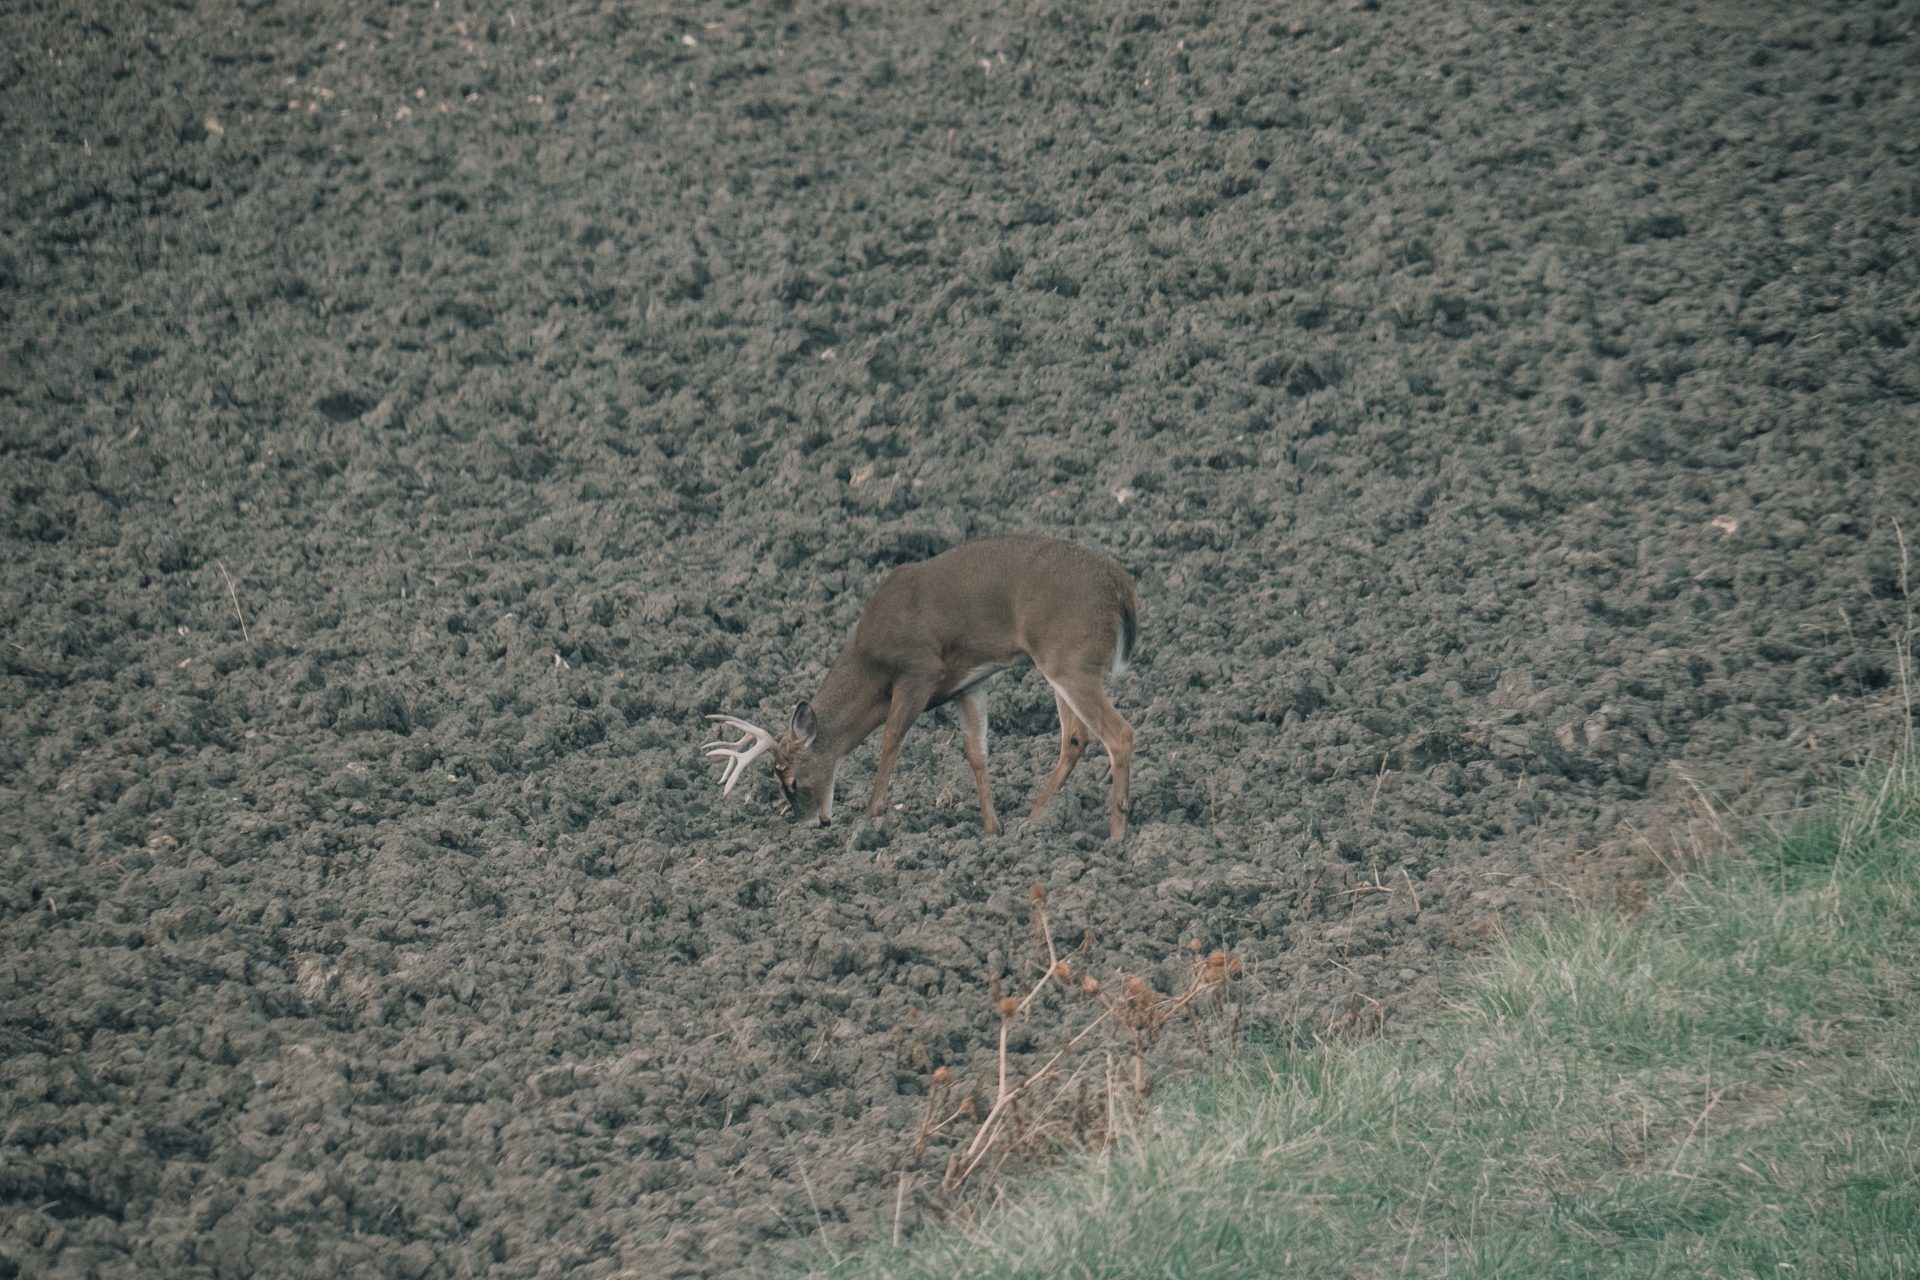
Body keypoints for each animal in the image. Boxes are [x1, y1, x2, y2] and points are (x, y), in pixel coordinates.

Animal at [706, 537, 1136, 840]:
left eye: (792, 780)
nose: (812, 823)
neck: (870, 659)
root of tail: (1120, 586)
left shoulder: (919, 669)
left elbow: (891, 737)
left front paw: (872, 812)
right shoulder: (969, 684)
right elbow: (975, 752)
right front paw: (992, 829)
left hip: (1068, 658)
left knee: (1119, 733)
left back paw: (1116, 834)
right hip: (1060, 663)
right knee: (1076, 737)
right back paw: (1032, 819)